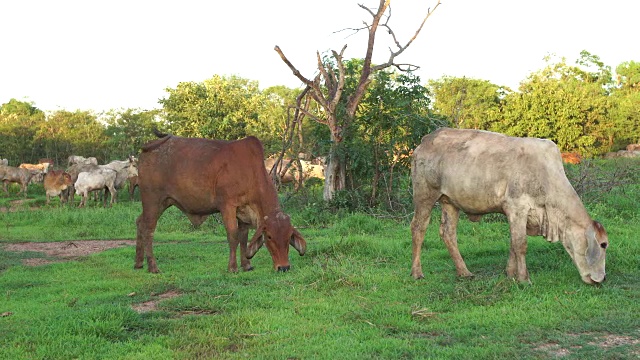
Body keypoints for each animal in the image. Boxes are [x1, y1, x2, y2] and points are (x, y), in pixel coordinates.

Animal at [136, 131, 308, 274]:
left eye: (289, 236)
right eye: (270, 236)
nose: (283, 267)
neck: (250, 172)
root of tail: (148, 147)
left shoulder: (244, 213)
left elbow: (243, 238)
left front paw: (246, 265)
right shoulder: (228, 206)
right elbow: (233, 236)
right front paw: (232, 268)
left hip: (163, 202)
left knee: (139, 222)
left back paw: (138, 263)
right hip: (152, 201)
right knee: (148, 229)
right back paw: (153, 267)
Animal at [410, 128, 608, 286]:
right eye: (603, 244)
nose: (603, 278)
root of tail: (427, 139)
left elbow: (513, 243)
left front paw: (510, 274)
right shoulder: (517, 207)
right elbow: (520, 244)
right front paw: (524, 279)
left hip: (450, 202)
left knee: (448, 232)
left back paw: (464, 272)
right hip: (424, 195)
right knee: (418, 228)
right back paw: (417, 272)